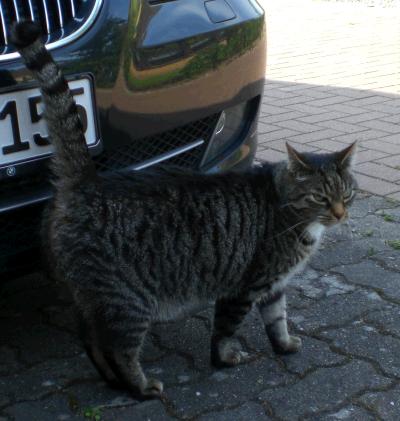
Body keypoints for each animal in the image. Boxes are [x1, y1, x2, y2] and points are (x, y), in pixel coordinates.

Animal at [11, 22, 356, 398]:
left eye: (347, 194)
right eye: (321, 198)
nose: (340, 214)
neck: (288, 210)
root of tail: (87, 179)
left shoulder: (274, 285)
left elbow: (277, 320)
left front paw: (285, 344)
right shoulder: (245, 285)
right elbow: (225, 329)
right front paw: (225, 359)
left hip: (93, 297)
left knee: (90, 341)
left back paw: (114, 381)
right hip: (128, 301)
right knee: (118, 348)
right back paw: (141, 386)